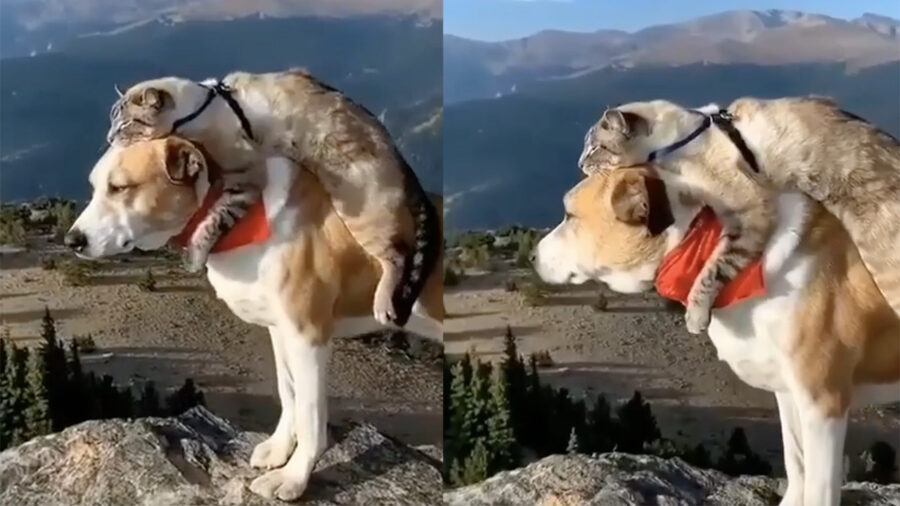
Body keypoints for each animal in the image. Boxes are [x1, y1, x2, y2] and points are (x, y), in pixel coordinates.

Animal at [63, 135, 442, 502]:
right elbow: (289, 393)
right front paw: (279, 450)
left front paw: (294, 478)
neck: (238, 215)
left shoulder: (308, 336)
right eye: (96, 186)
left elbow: (309, 415)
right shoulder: (282, 332)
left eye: (120, 187)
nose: (72, 240)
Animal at [536, 167, 900, 506]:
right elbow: (796, 465)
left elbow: (819, 487)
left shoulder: (823, 403)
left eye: (569, 215)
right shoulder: (790, 394)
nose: (532, 256)